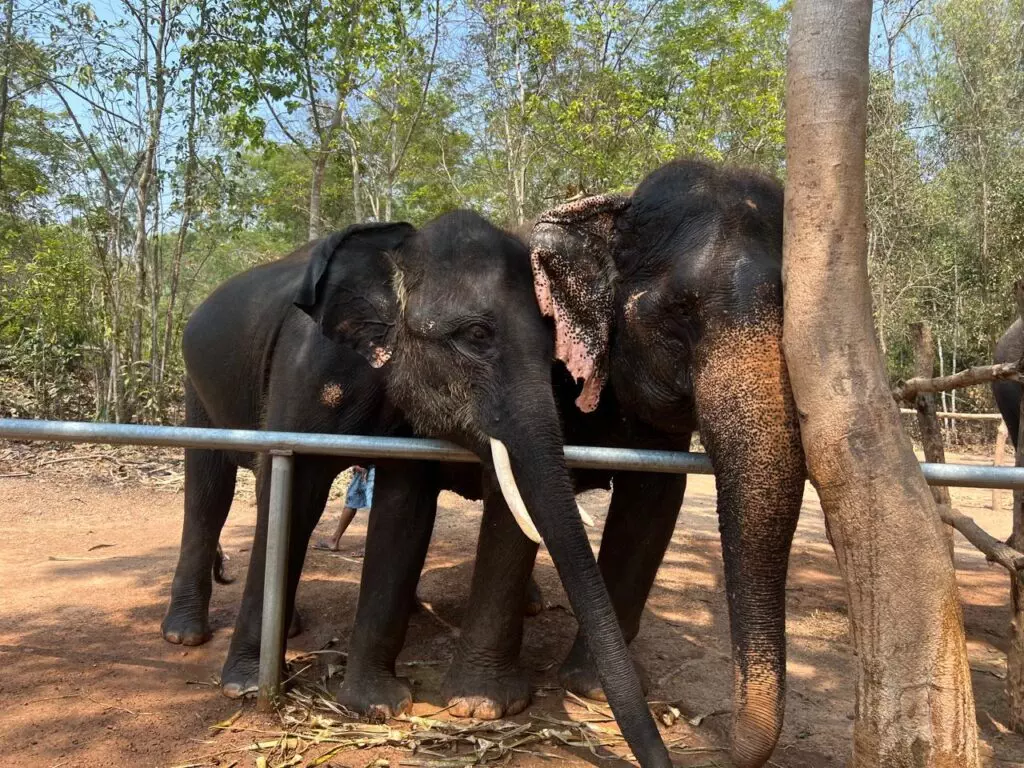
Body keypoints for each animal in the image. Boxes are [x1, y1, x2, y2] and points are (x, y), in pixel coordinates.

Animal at [159, 211, 671, 768]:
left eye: (552, 354)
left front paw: (377, 707)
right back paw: (183, 634)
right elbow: (295, 493)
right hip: (194, 387)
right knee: (209, 490)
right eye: (476, 334)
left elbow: (404, 509)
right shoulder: (306, 369)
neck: (403, 248)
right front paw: (247, 687)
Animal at [440, 157, 806, 768]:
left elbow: (653, 500)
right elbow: (516, 488)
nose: (720, 737)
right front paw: (480, 707)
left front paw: (589, 687)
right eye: (681, 312)